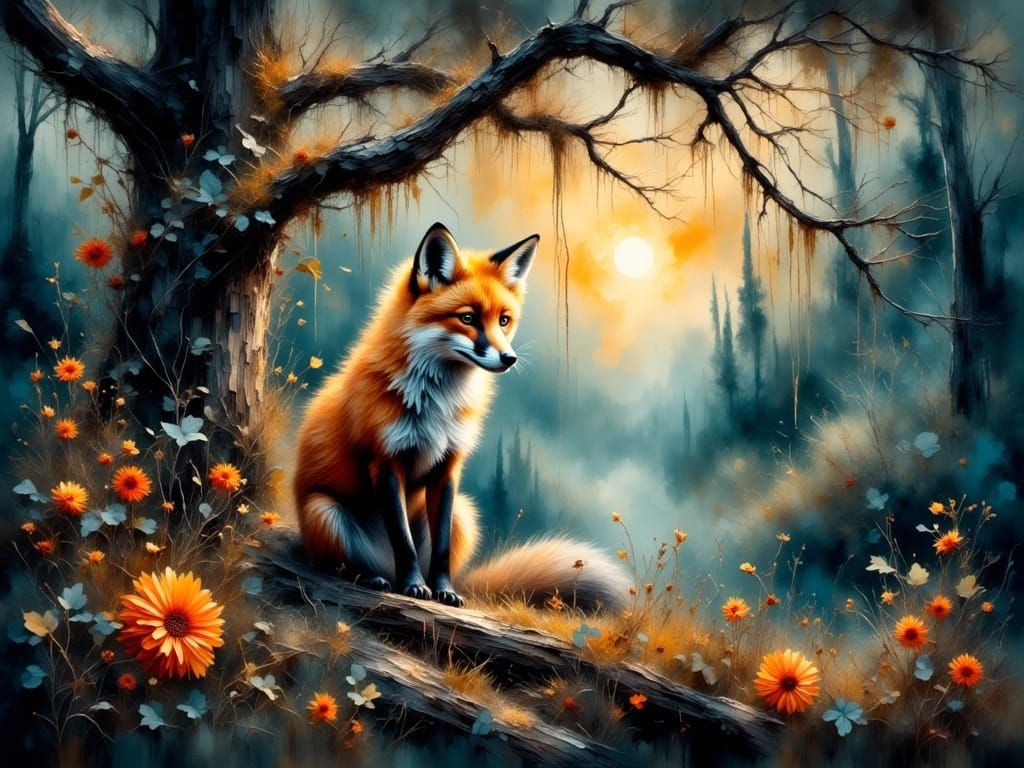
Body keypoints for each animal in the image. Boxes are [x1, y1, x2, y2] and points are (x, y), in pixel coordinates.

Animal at [293, 222, 629, 610]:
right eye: (467, 318)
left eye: (504, 320)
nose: (509, 358)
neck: (435, 407)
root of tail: (382, 562)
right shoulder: (385, 461)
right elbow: (404, 543)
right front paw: (414, 586)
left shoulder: (448, 467)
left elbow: (439, 550)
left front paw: (443, 591)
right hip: (324, 512)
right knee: (340, 564)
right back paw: (373, 578)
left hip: (465, 515)